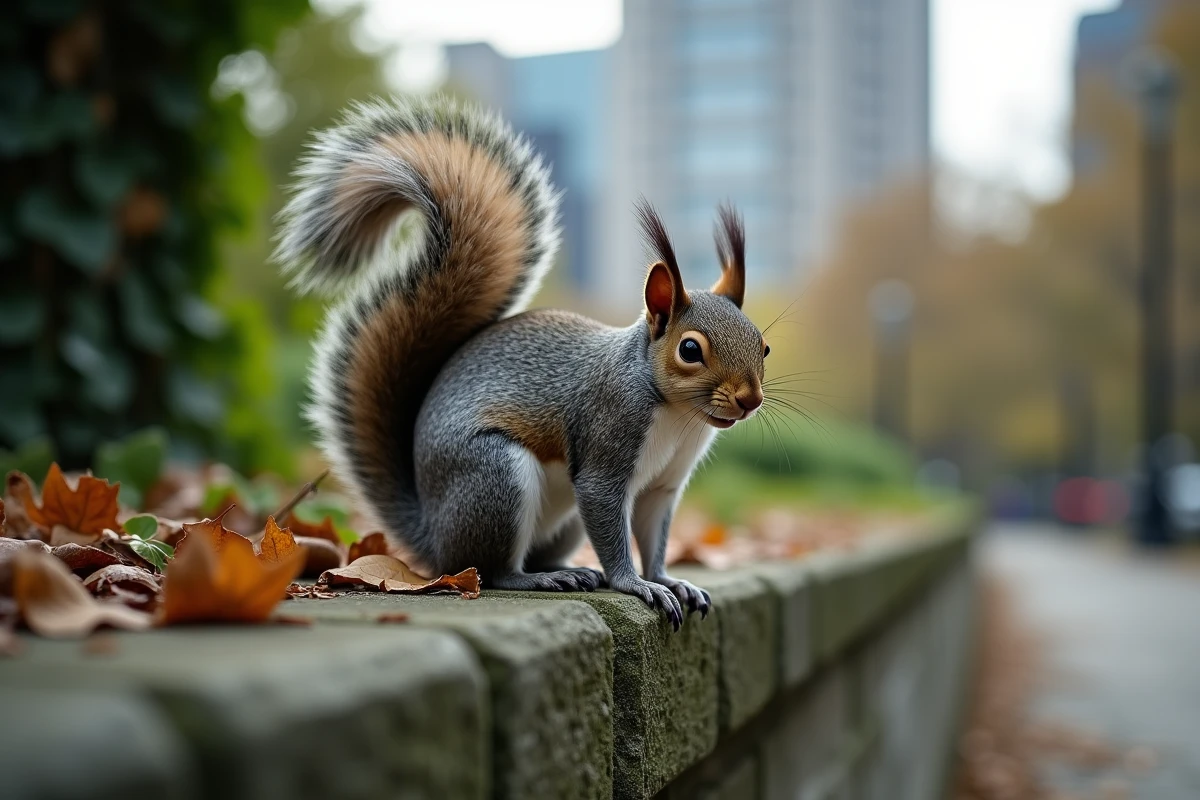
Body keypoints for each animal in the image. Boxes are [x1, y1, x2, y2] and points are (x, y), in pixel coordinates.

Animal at [275, 97, 768, 629]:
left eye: (763, 347)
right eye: (690, 350)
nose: (750, 399)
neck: (677, 416)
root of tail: (433, 534)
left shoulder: (662, 487)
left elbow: (654, 536)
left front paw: (668, 580)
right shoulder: (607, 440)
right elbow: (611, 524)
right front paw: (635, 584)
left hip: (561, 517)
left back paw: (568, 570)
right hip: (495, 478)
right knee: (491, 570)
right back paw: (539, 579)